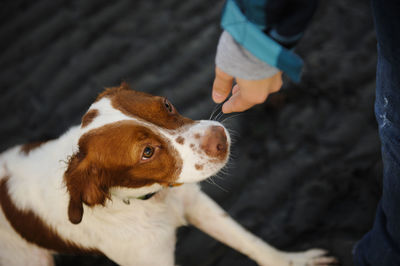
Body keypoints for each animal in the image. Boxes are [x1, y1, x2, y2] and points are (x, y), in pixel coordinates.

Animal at [0, 83, 338, 266]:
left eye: (166, 104)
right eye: (147, 152)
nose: (220, 137)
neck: (153, 201)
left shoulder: (197, 205)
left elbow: (251, 243)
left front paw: (294, 260)